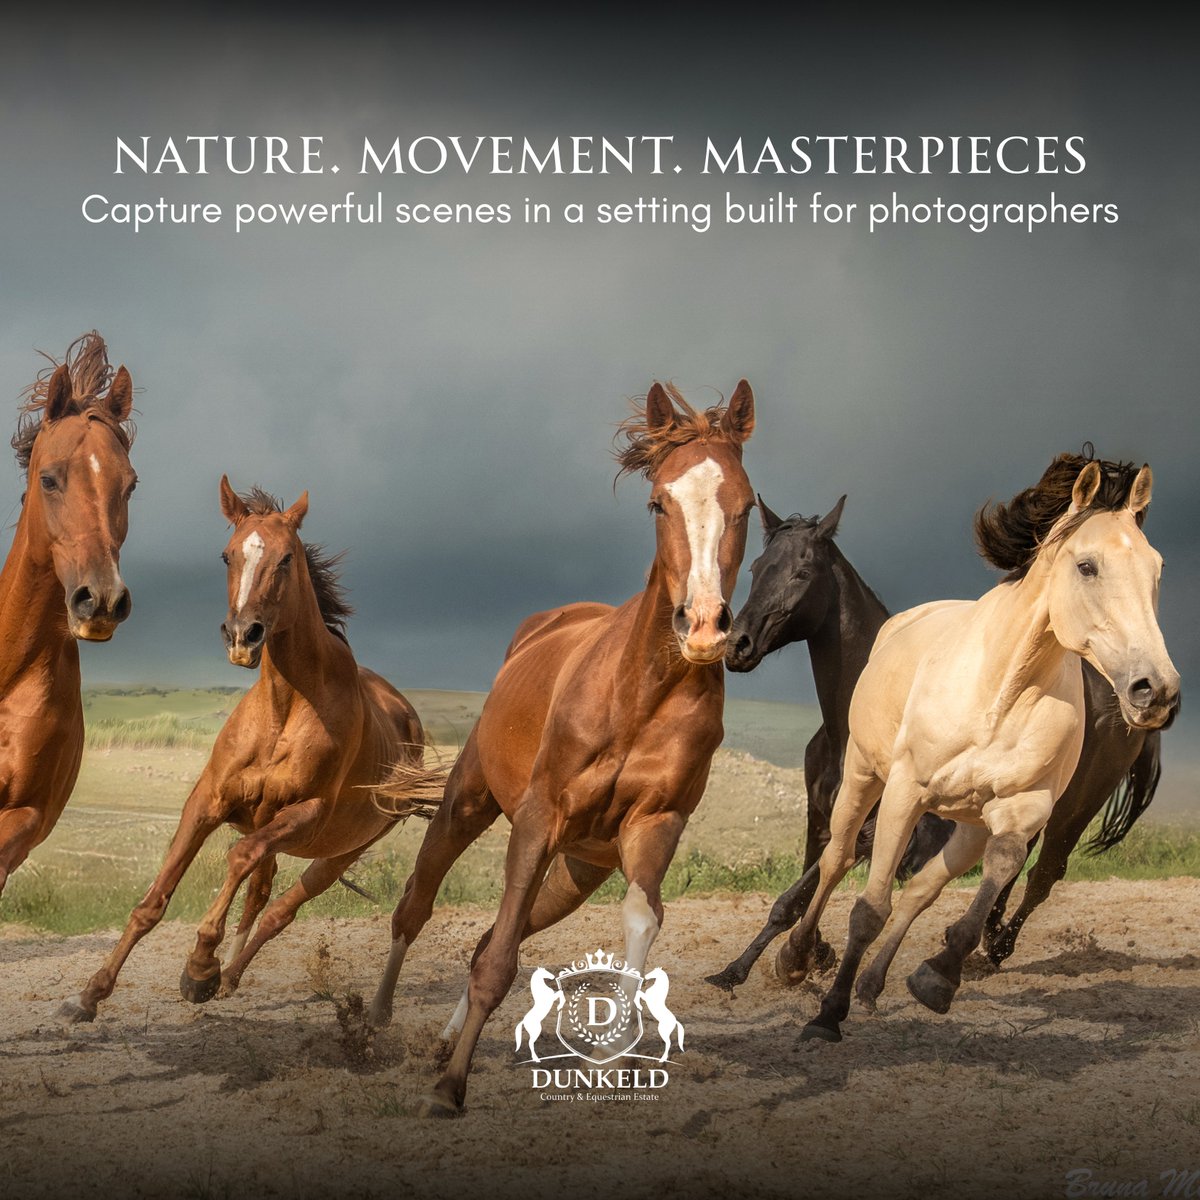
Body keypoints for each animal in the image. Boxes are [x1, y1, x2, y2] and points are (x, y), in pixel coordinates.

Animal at [61, 478, 442, 1021]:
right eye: (227, 555)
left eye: (286, 558)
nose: (243, 636)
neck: (286, 708)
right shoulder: (208, 801)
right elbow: (153, 901)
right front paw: (88, 995)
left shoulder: (305, 812)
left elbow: (238, 857)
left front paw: (199, 968)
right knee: (261, 893)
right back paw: (228, 976)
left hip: (339, 851)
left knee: (280, 908)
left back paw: (225, 973)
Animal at [367, 380, 757, 1116]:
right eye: (657, 501)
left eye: (748, 505)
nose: (703, 626)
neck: (637, 696)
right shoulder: (537, 817)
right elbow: (496, 963)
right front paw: (449, 1091)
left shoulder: (655, 826)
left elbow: (641, 919)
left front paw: (612, 1059)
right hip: (468, 807)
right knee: (416, 908)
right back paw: (371, 1023)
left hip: (578, 871)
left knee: (494, 934)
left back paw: (441, 1040)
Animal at [778, 456, 1178, 1044]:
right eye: (1087, 566)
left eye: (1157, 570)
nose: (1156, 690)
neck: (1001, 690)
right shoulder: (904, 793)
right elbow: (869, 907)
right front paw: (828, 1015)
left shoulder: (1023, 808)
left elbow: (996, 869)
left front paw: (938, 976)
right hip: (863, 778)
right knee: (835, 861)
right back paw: (795, 958)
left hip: (969, 823)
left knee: (926, 888)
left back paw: (873, 984)